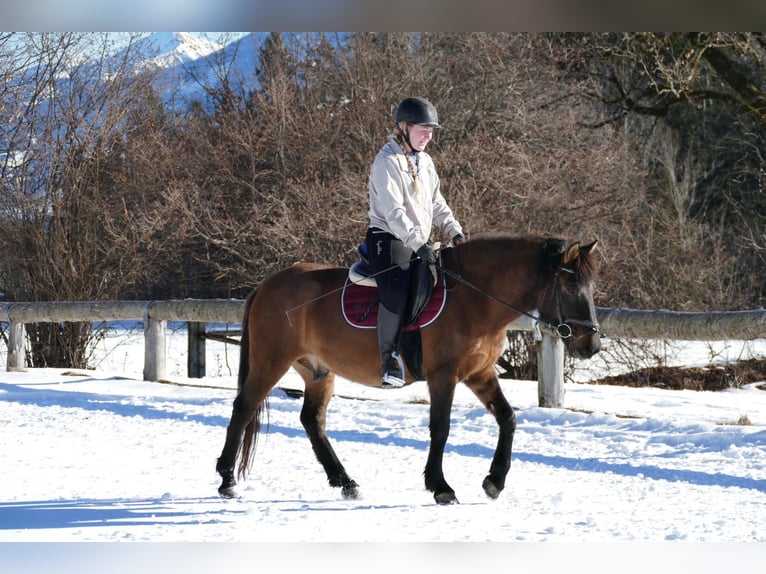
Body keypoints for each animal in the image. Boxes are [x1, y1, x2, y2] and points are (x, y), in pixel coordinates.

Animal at [214, 232, 600, 506]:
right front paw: (440, 486)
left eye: (590, 287)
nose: (591, 345)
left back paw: (345, 482)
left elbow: (508, 418)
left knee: (312, 421)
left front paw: (495, 481)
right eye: (570, 287)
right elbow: (440, 428)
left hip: (318, 371)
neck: (473, 298)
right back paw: (227, 480)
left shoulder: (480, 374)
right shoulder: (444, 376)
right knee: (243, 408)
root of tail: (269, 284)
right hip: (271, 361)